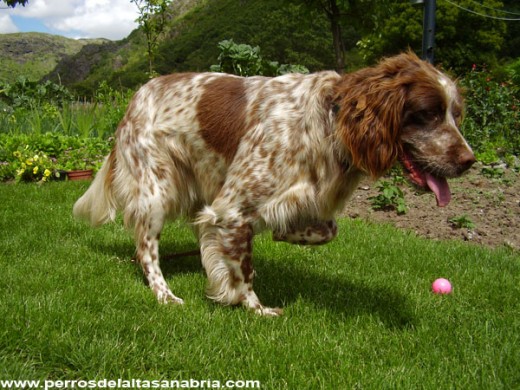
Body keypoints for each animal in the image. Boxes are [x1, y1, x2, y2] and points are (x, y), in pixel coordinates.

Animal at [73, 51, 476, 316]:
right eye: (427, 114)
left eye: (456, 115)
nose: (470, 161)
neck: (330, 121)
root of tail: (134, 99)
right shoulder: (232, 208)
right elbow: (244, 269)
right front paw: (253, 307)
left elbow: (326, 229)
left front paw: (287, 231)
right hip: (156, 192)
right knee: (146, 252)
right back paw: (165, 294)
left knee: (195, 233)